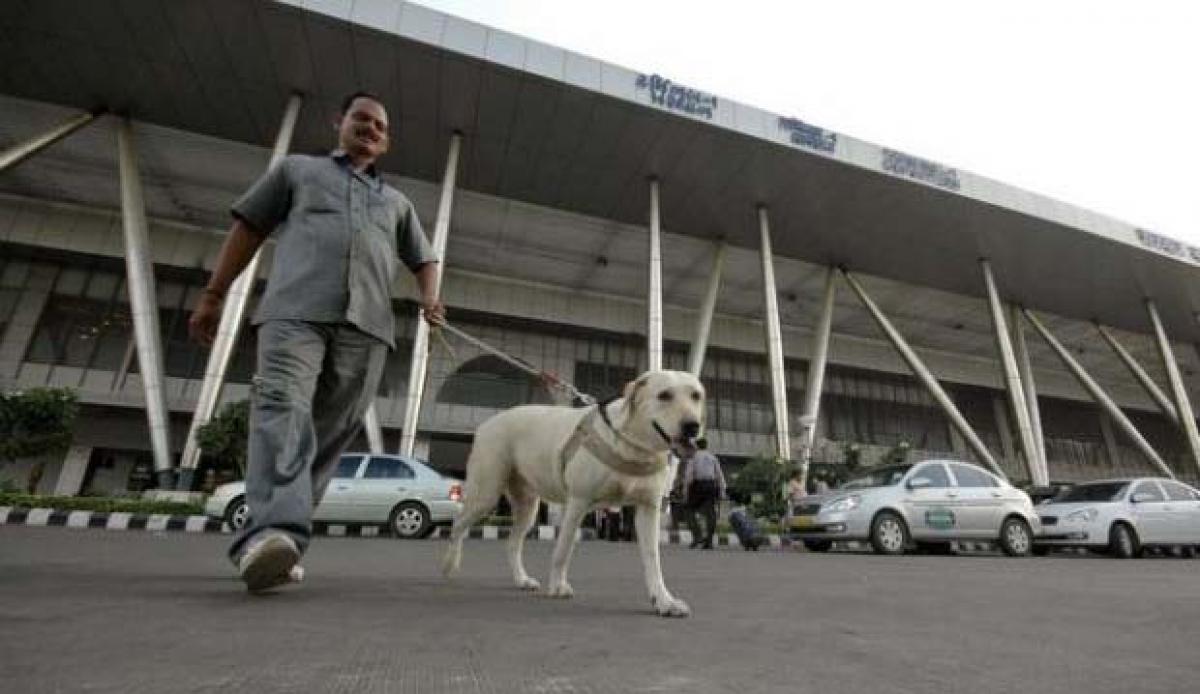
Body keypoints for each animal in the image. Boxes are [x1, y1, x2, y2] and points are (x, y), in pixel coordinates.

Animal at [441, 367, 700, 614]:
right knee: (458, 524)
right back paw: (449, 564)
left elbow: (653, 559)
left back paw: (521, 579)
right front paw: (557, 585)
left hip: (527, 506)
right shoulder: (578, 502)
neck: (631, 444)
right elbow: (563, 549)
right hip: (486, 493)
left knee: (513, 542)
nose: (692, 426)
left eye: (696, 396)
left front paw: (664, 601)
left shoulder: (648, 509)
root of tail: (490, 421)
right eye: (664, 395)